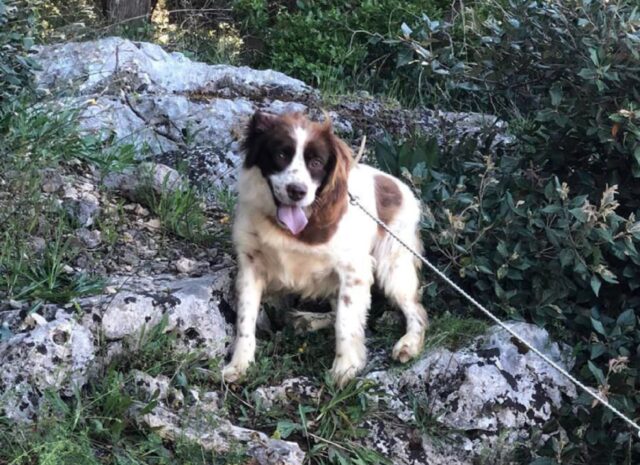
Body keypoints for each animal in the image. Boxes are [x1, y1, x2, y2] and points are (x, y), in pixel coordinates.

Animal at [222, 110, 428, 386]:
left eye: (317, 162)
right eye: (281, 155)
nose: (297, 191)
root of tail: (401, 186)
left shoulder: (355, 271)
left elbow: (346, 322)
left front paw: (345, 367)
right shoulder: (250, 265)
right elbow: (245, 319)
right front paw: (240, 365)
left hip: (393, 266)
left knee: (416, 310)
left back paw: (409, 344)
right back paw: (307, 320)